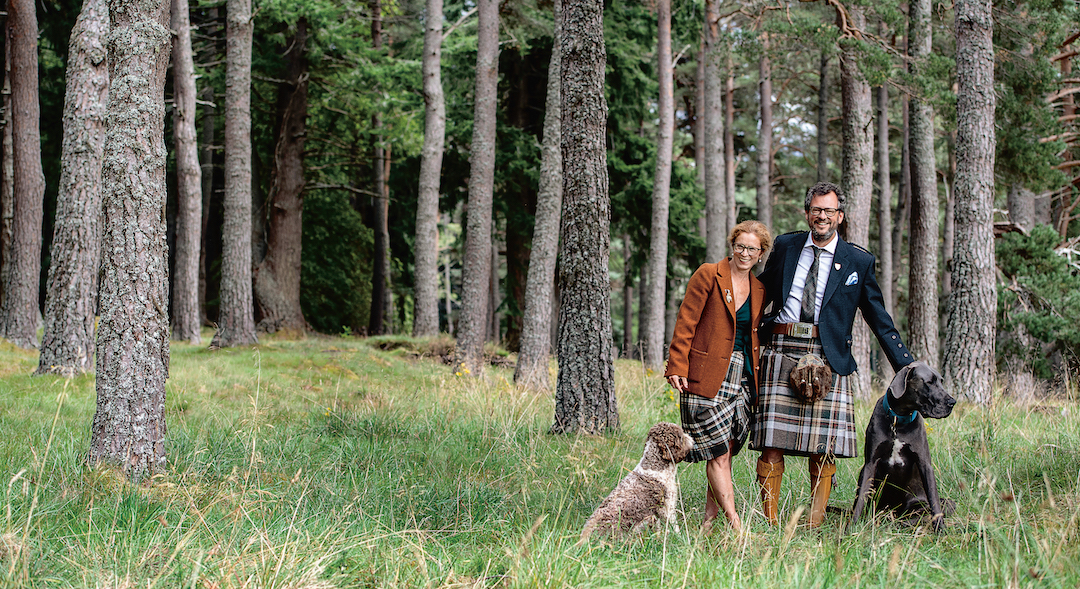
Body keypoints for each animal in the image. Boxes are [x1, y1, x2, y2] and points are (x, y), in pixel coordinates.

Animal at [851, 360, 954, 529]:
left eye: (941, 381)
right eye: (929, 382)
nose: (952, 402)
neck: (898, 420)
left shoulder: (925, 464)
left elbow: (934, 501)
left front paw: (941, 530)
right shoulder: (870, 463)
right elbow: (860, 500)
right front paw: (850, 528)